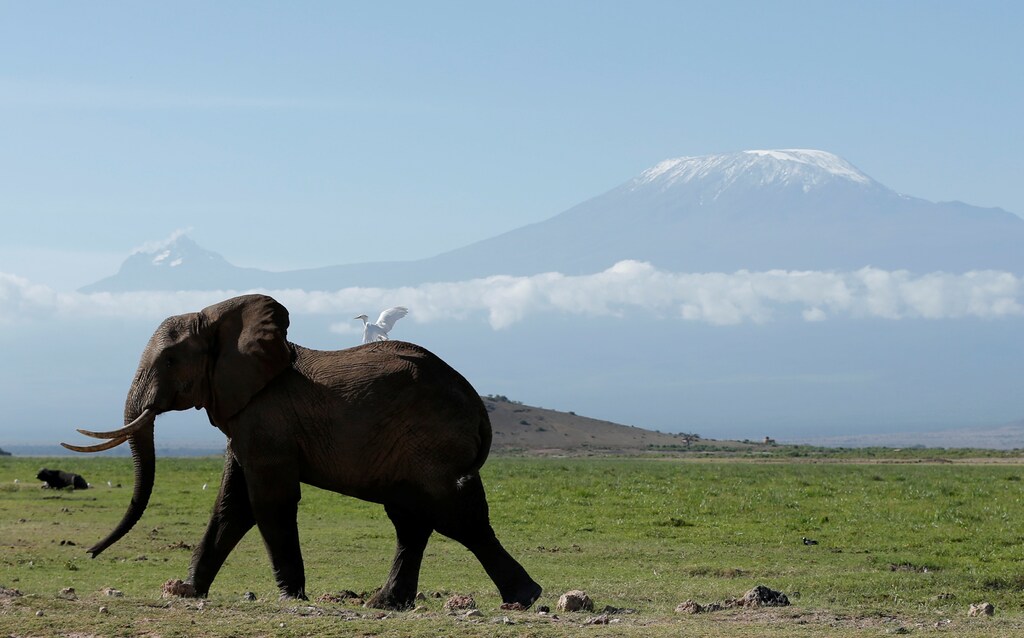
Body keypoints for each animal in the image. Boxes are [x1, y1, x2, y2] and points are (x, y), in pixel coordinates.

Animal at [62, 294, 541, 609]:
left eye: (168, 361)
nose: (89, 554)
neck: (221, 320)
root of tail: (478, 407)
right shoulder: (246, 418)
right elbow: (231, 505)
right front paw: (188, 591)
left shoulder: (266, 419)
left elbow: (267, 501)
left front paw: (292, 596)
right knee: (413, 518)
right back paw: (385, 603)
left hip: (431, 442)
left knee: (454, 513)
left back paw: (524, 598)